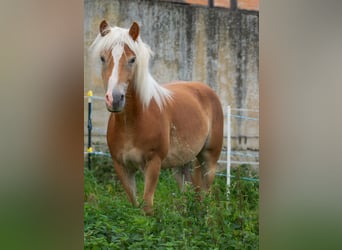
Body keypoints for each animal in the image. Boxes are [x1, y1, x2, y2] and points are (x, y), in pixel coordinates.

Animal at [90, 20, 224, 215]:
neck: (132, 122)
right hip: (181, 164)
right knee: (190, 192)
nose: (114, 99)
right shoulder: (121, 167)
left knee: (206, 195)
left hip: (209, 160)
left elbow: (147, 207)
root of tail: (207, 90)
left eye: (132, 59)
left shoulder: (153, 164)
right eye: (102, 58)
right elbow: (134, 204)